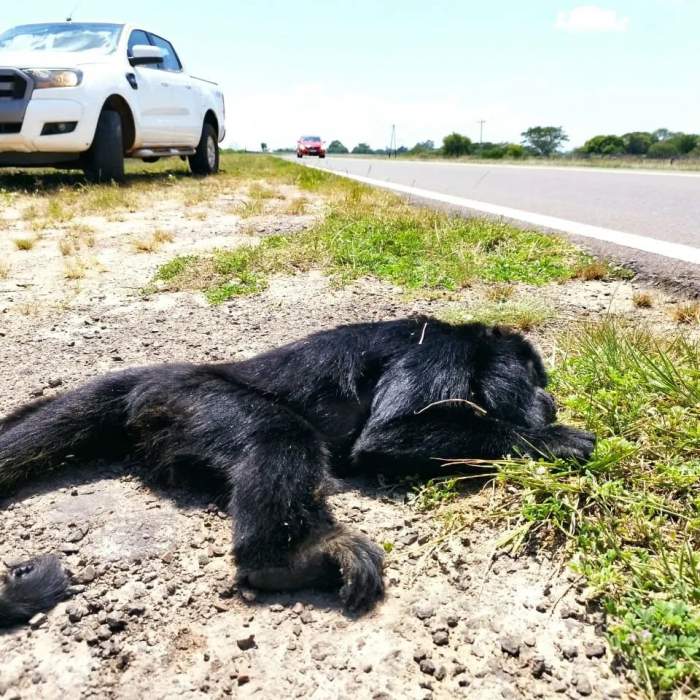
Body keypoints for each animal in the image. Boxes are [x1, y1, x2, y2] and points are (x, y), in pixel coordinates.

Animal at [0, 316, 595, 625]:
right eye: (534, 378)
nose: (549, 402)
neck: (470, 346)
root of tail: (170, 373)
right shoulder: (439, 353)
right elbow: (385, 438)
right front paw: (554, 440)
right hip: (196, 400)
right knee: (279, 434)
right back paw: (290, 560)